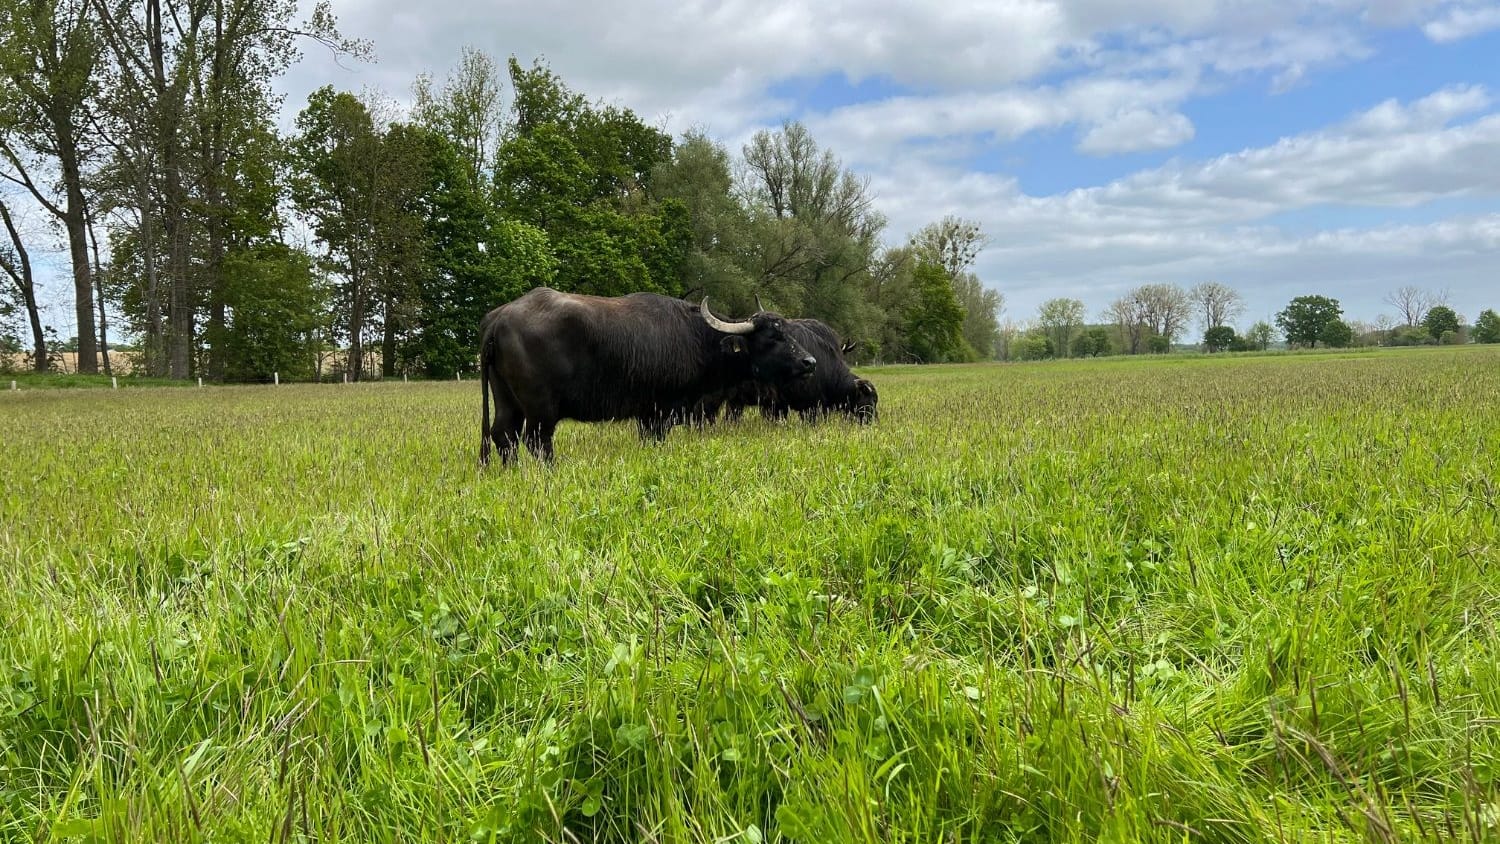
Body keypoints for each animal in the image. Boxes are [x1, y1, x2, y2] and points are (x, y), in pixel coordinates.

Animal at [477, 289, 816, 461]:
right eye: (772, 337)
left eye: (787, 329)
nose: (810, 361)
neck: (695, 338)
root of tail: (499, 319)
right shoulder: (660, 412)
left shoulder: (646, 415)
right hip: (540, 408)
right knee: (536, 442)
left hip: (507, 400)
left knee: (503, 436)